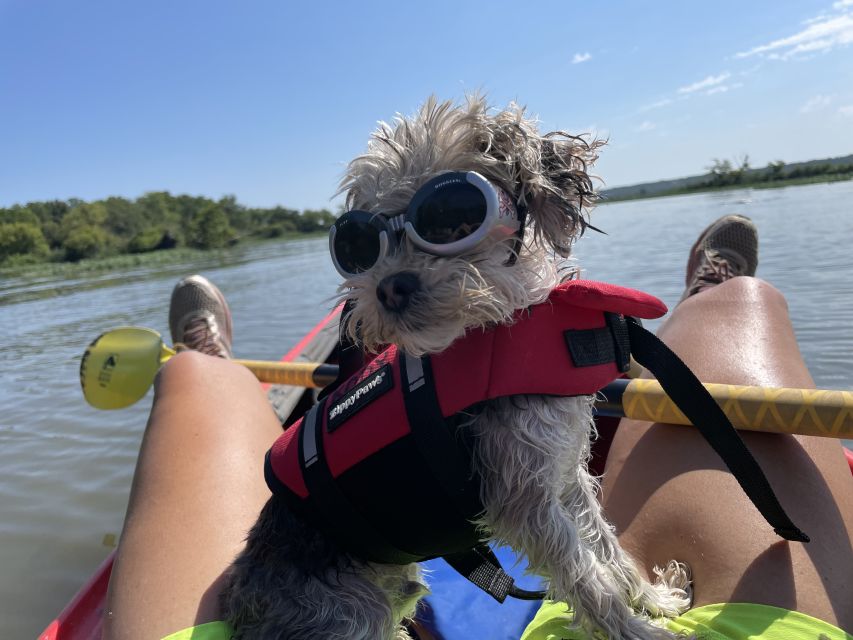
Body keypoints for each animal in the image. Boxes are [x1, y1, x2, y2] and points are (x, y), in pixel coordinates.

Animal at [221, 96, 692, 640]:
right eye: (358, 243)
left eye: (453, 216)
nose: (388, 287)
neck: (504, 328)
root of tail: (238, 607)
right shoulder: (525, 501)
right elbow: (587, 577)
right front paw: (639, 631)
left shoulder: (564, 475)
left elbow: (607, 546)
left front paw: (653, 600)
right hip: (354, 614)